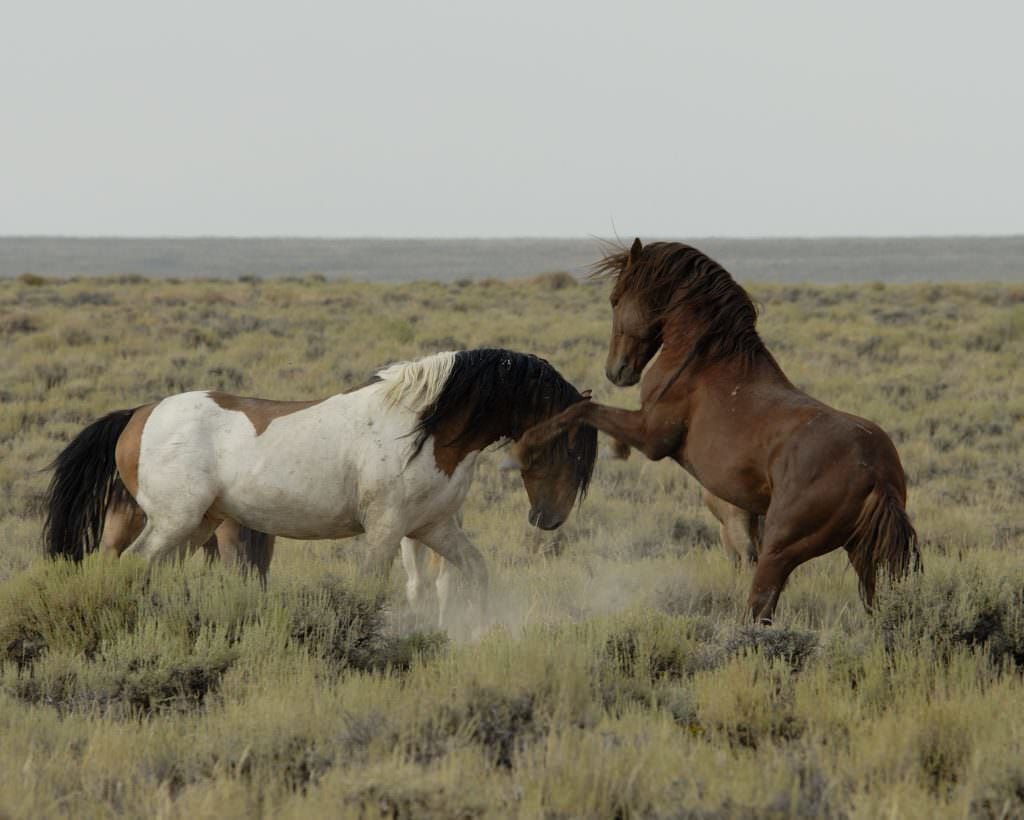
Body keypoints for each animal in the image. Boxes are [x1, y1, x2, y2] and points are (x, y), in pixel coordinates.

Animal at [43, 348, 598, 633]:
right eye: (570, 448)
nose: (548, 519)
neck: (425, 428)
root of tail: (139, 413)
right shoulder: (387, 529)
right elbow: (372, 588)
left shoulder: (433, 527)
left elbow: (474, 573)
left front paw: (472, 633)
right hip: (173, 524)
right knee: (131, 568)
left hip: (196, 526)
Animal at [509, 239, 920, 622]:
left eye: (614, 299)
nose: (616, 371)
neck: (704, 361)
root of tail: (877, 472)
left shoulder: (651, 437)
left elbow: (584, 409)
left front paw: (525, 448)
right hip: (860, 554)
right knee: (871, 605)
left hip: (781, 551)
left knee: (760, 609)